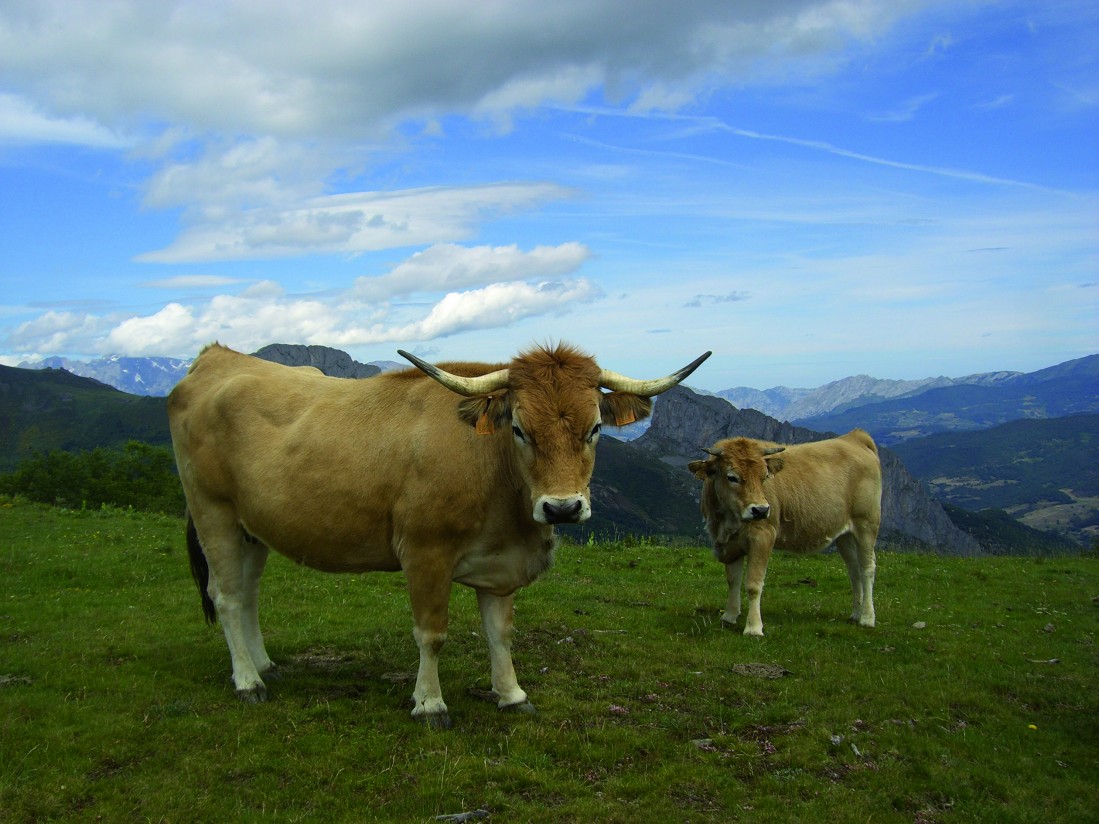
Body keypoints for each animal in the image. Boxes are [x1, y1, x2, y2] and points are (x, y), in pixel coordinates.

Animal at [167, 342, 707, 729]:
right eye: (519, 428)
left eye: (594, 428)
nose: (562, 507)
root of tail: (216, 356)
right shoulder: (425, 553)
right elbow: (432, 633)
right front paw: (430, 704)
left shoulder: (500, 564)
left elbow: (500, 632)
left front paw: (512, 695)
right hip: (213, 511)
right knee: (227, 596)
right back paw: (247, 682)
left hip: (252, 527)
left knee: (248, 593)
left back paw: (264, 665)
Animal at [685, 432, 883, 637]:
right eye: (732, 477)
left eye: (764, 476)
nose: (761, 510)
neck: (727, 520)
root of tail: (854, 437)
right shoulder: (728, 544)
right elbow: (733, 581)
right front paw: (729, 617)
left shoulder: (763, 536)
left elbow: (753, 584)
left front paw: (754, 627)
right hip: (844, 535)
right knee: (854, 570)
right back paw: (855, 614)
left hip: (866, 524)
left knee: (867, 568)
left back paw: (867, 618)